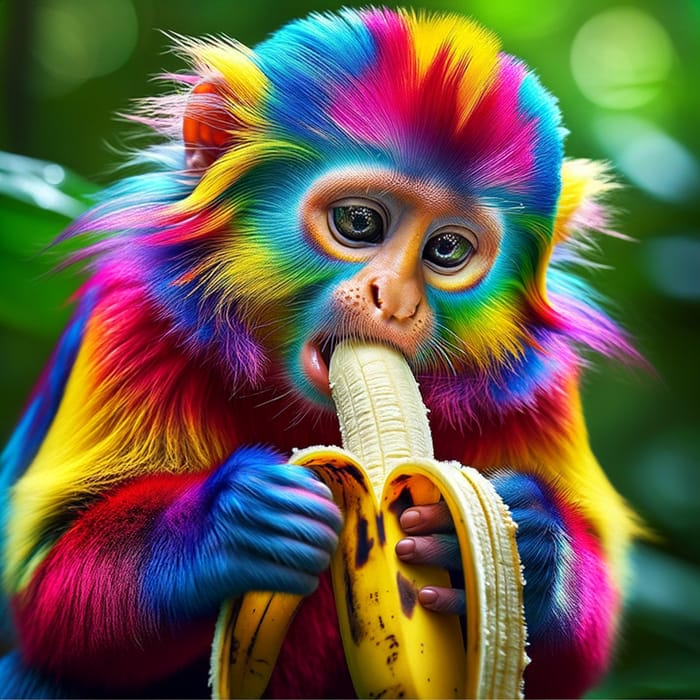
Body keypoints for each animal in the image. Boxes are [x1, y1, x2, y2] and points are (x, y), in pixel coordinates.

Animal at [0, 6, 644, 700]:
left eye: (446, 250)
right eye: (360, 224)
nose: (394, 301)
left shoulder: (541, 386)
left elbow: (571, 661)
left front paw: (532, 539)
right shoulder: (133, 322)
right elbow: (43, 592)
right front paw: (232, 526)